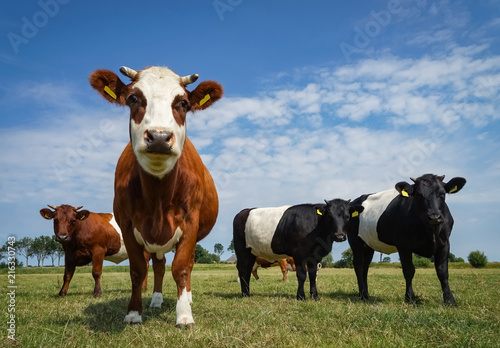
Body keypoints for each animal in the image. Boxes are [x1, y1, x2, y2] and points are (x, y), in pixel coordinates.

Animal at [89, 66, 223, 328]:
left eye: (183, 103)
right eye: (133, 98)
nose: (159, 136)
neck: (158, 195)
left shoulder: (190, 222)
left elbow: (181, 267)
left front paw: (184, 315)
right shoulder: (127, 224)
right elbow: (138, 270)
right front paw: (133, 313)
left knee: (187, 264)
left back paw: (187, 297)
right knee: (159, 266)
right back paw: (157, 299)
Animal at [234, 200, 364, 300]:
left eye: (347, 216)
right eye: (329, 216)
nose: (340, 236)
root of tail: (243, 211)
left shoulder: (315, 256)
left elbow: (312, 274)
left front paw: (314, 296)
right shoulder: (299, 254)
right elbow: (301, 275)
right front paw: (301, 296)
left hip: (251, 253)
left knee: (248, 270)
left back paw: (247, 292)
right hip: (241, 250)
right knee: (243, 269)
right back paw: (245, 294)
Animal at [346, 174, 466, 304]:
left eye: (442, 194)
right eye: (418, 195)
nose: (434, 217)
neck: (430, 232)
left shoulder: (444, 243)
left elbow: (442, 271)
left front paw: (450, 301)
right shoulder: (403, 244)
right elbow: (409, 270)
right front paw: (410, 299)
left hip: (368, 243)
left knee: (365, 266)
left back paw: (365, 294)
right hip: (354, 239)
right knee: (358, 264)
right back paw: (363, 295)